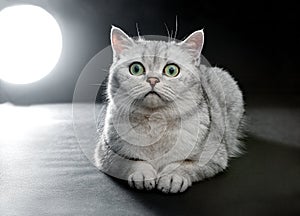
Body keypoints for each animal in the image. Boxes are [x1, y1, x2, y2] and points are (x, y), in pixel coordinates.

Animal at [95, 26, 245, 193]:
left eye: (171, 70)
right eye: (136, 69)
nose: (152, 80)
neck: (156, 122)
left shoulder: (213, 157)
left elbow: (184, 165)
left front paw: (173, 177)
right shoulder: (106, 153)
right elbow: (133, 162)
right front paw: (142, 173)